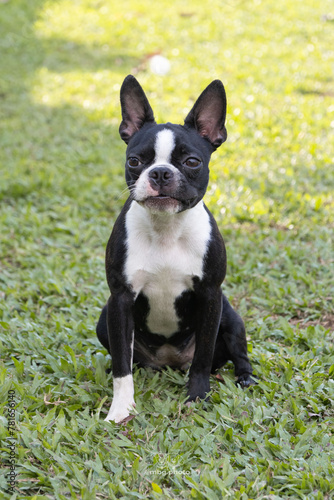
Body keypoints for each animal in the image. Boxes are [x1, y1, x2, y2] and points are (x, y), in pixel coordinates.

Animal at [96, 76, 256, 424]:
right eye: (134, 161)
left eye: (192, 162)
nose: (160, 173)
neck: (166, 229)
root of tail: (170, 360)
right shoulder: (120, 300)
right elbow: (121, 366)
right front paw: (121, 409)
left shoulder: (210, 296)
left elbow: (203, 358)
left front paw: (197, 398)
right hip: (104, 319)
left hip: (231, 316)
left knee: (237, 353)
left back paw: (246, 378)